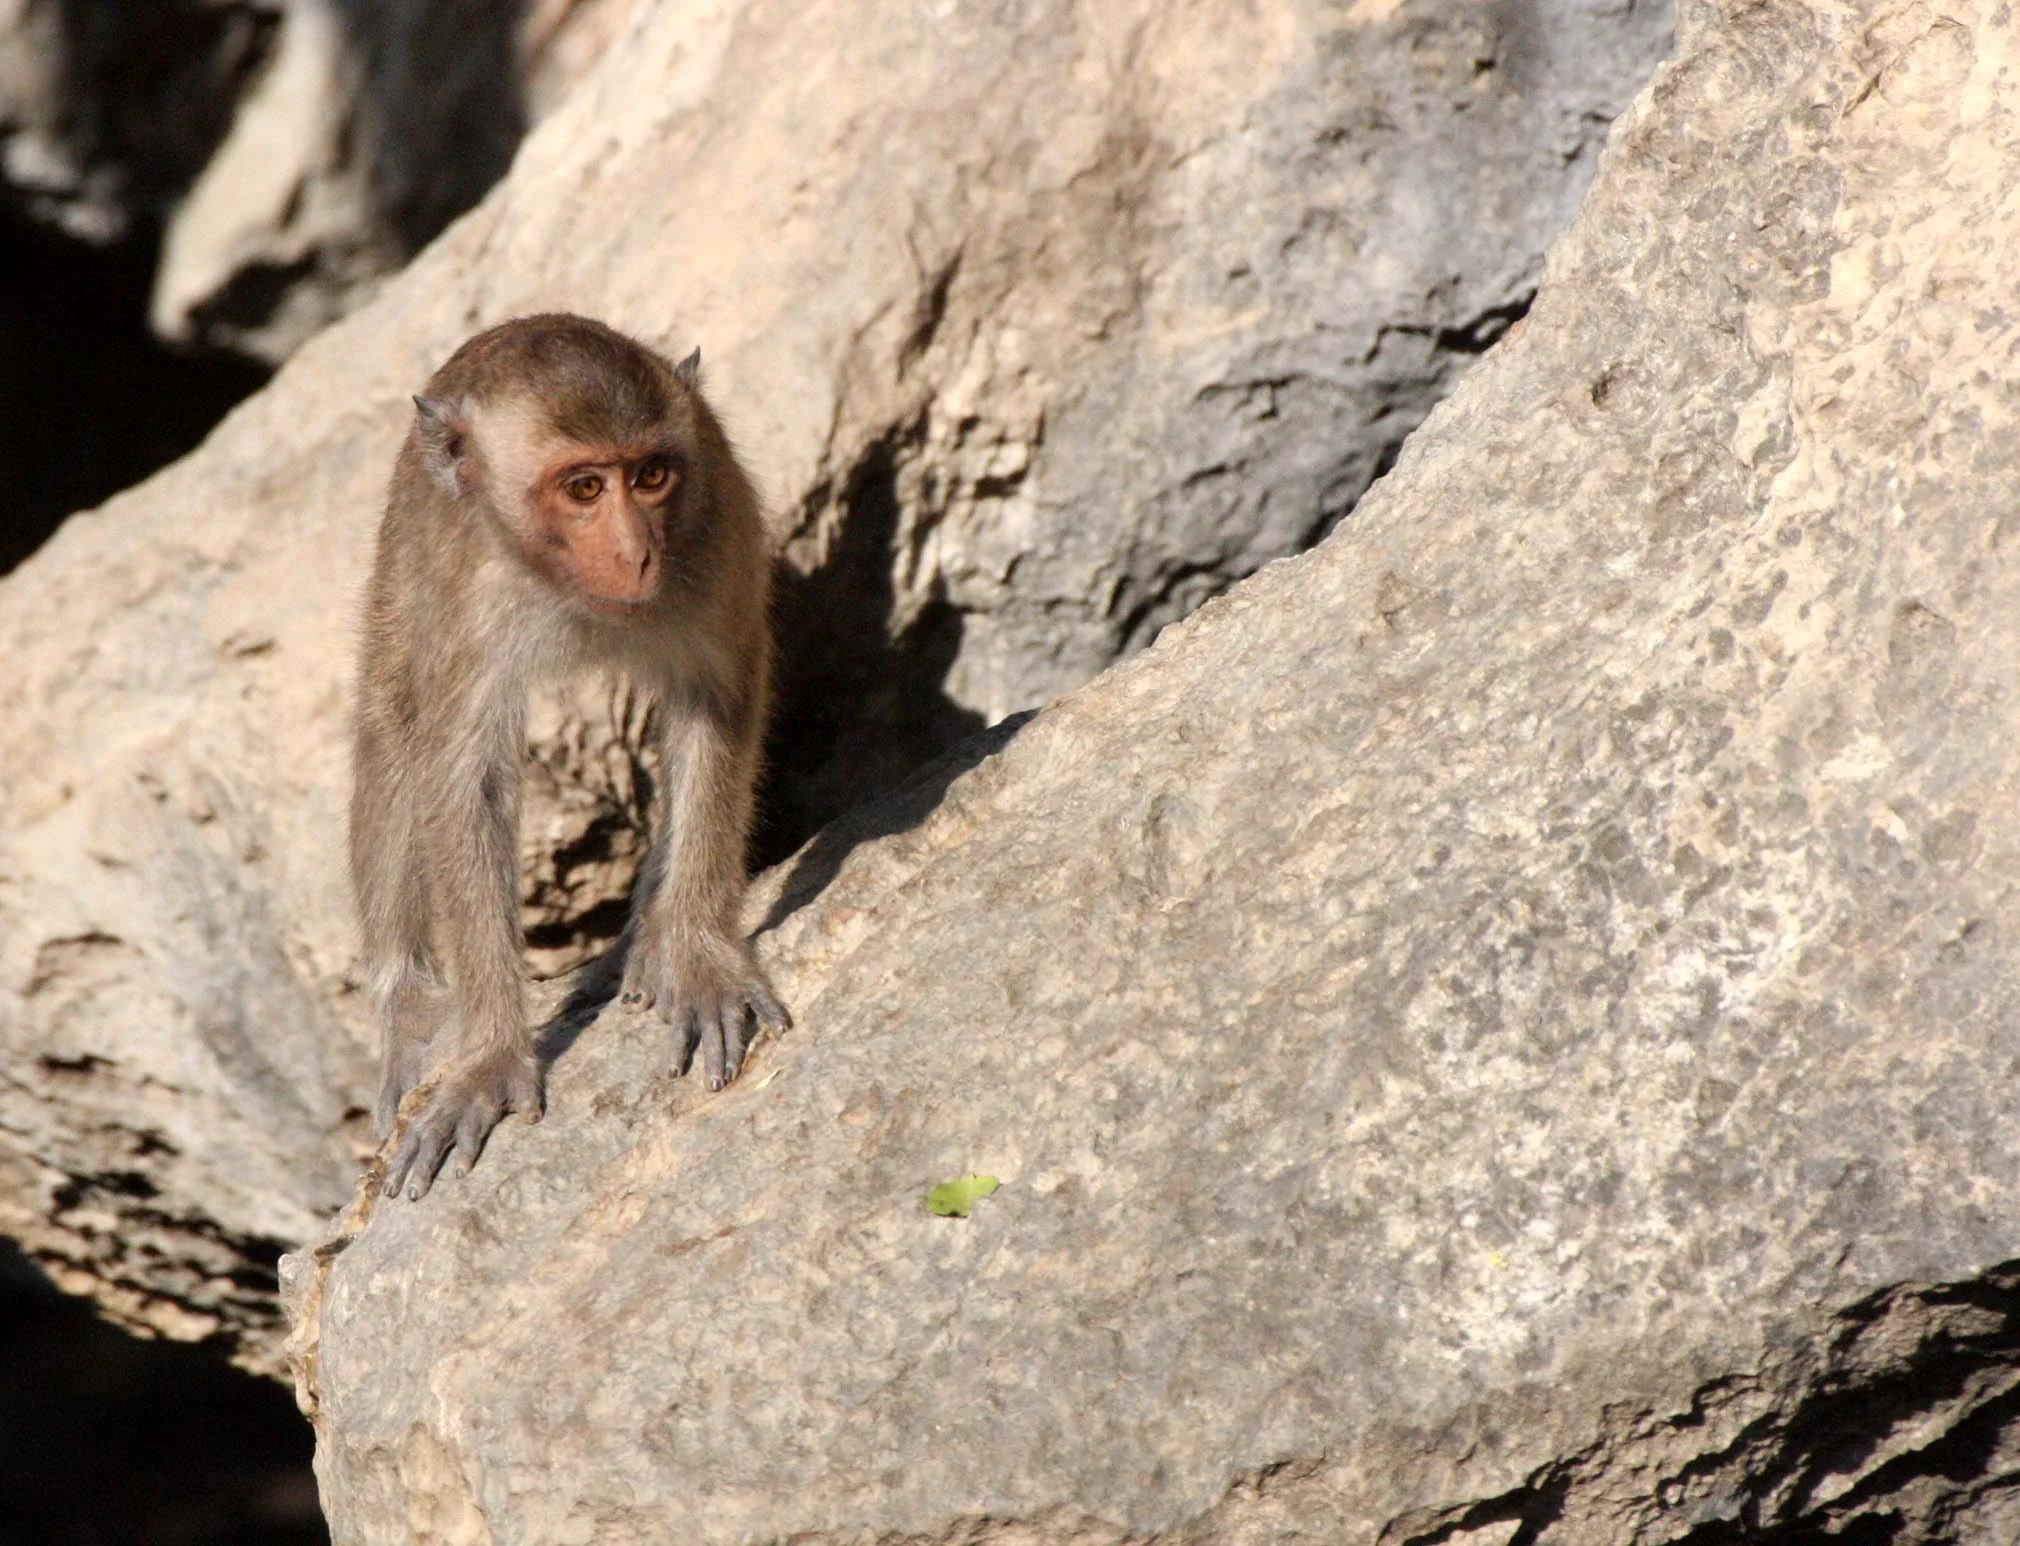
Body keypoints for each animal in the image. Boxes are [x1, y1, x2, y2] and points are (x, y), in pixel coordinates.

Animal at [350, 313, 788, 1202]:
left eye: (651, 476)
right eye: (584, 488)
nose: (638, 553)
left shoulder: (714, 521)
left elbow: (714, 700)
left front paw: (696, 950)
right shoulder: (467, 591)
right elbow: (464, 778)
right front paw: (490, 1055)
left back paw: (650, 931)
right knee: (391, 724)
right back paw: (406, 1007)